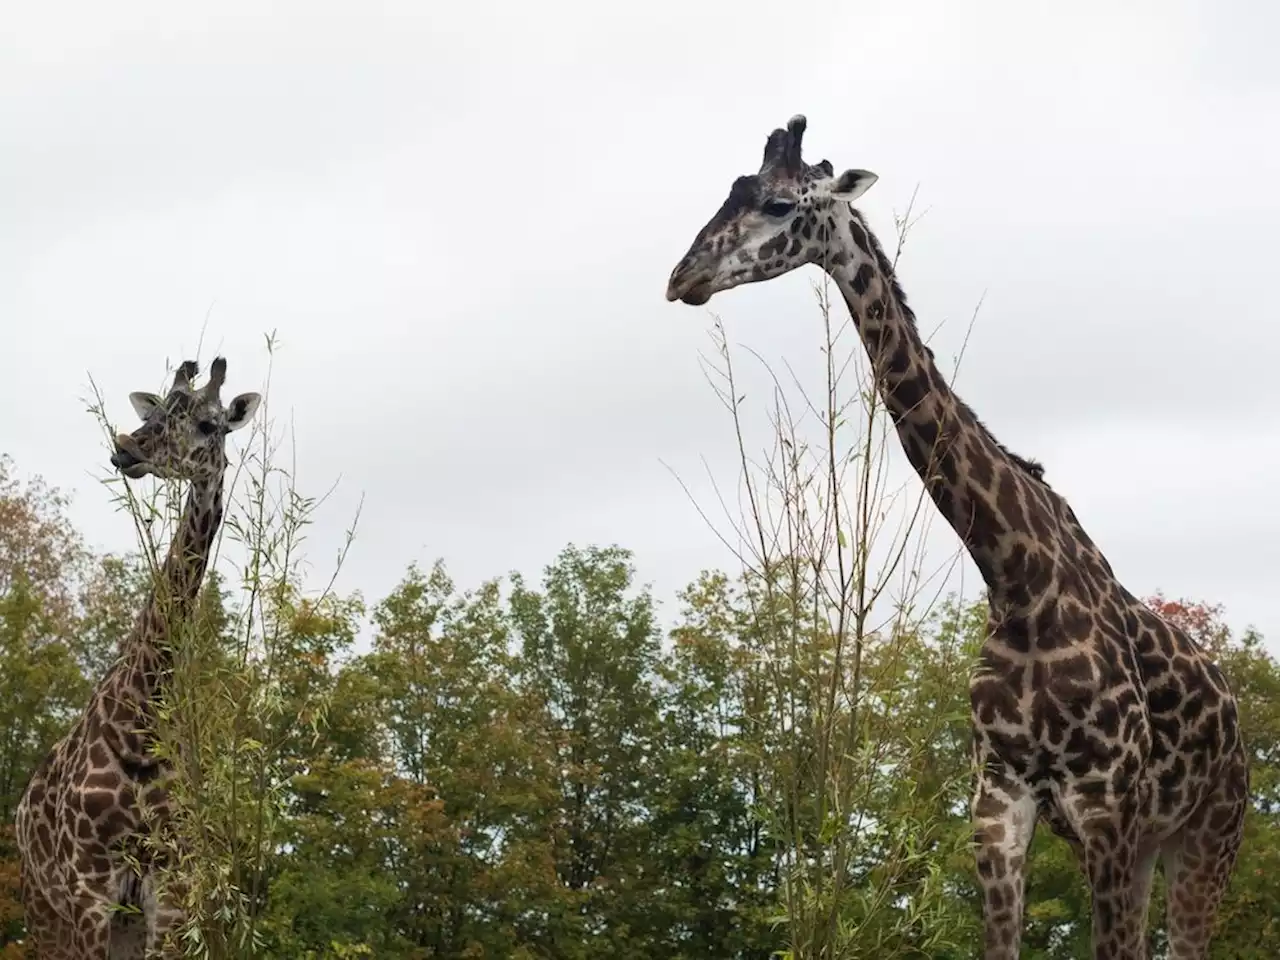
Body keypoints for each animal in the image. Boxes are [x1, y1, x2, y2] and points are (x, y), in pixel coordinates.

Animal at [15, 358, 262, 960]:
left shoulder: (168, 889)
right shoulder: (89, 890)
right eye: (159, 411)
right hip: (44, 912)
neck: (140, 719)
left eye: (210, 424)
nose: (127, 448)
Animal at [665, 116, 1244, 957]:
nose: (684, 276)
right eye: (729, 191)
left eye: (777, 203)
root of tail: (1235, 713)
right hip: (1147, 846)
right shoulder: (998, 806)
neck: (1017, 577)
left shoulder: (1106, 806)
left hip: (1206, 837)